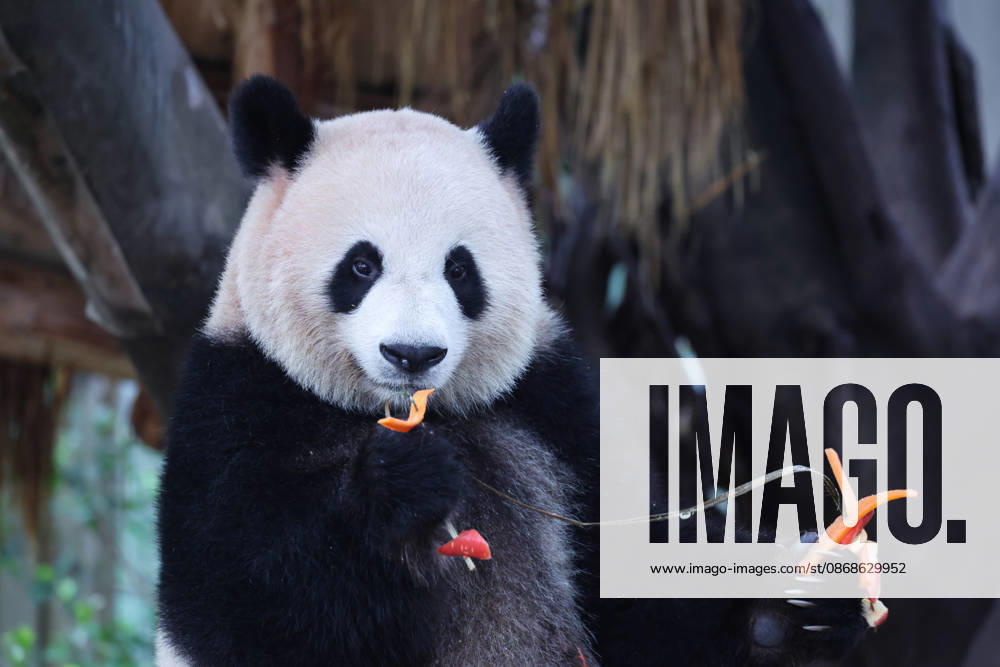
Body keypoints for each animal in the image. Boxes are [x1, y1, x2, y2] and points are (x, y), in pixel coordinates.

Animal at [155, 75, 869, 666]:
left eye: (459, 269)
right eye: (361, 265)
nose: (412, 355)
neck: (400, 411)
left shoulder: (555, 412)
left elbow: (637, 589)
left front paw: (791, 610)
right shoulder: (238, 401)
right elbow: (245, 602)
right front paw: (402, 483)